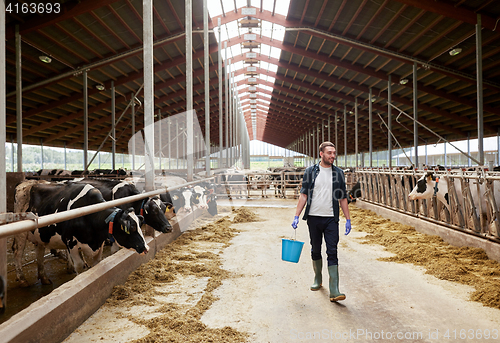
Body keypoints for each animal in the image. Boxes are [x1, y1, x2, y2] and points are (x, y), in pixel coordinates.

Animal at [11, 183, 148, 288]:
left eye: (139, 225)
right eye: (131, 228)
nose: (145, 248)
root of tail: (24, 185)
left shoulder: (99, 245)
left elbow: (95, 264)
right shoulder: (71, 244)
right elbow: (79, 267)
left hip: (39, 236)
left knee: (39, 252)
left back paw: (44, 278)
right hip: (20, 233)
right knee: (17, 252)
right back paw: (22, 279)